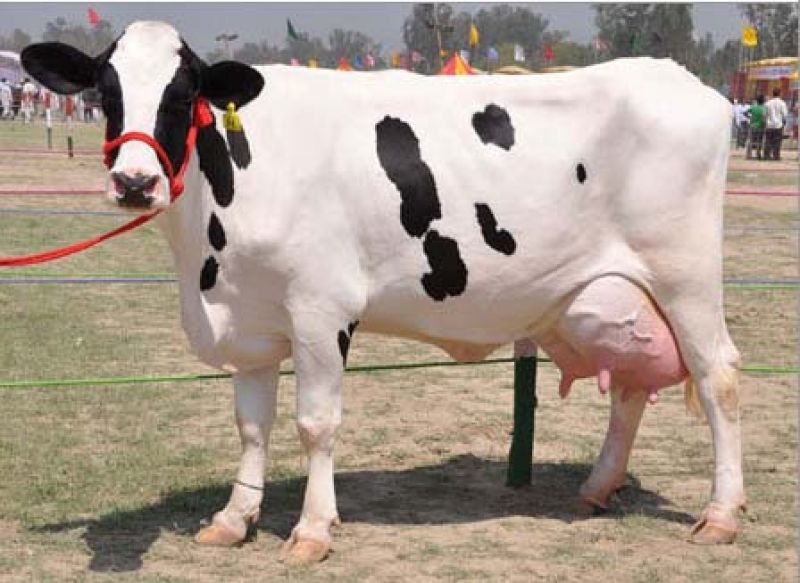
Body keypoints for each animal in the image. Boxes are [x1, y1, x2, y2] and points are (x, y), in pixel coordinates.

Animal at [21, 21, 744, 564]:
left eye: (184, 91)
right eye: (105, 89)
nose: (134, 181)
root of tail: (682, 80)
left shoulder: (320, 308)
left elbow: (315, 424)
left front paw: (312, 530)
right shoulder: (249, 316)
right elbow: (252, 424)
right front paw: (234, 516)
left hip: (685, 277)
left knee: (719, 378)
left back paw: (721, 514)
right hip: (614, 296)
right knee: (630, 390)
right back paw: (596, 488)